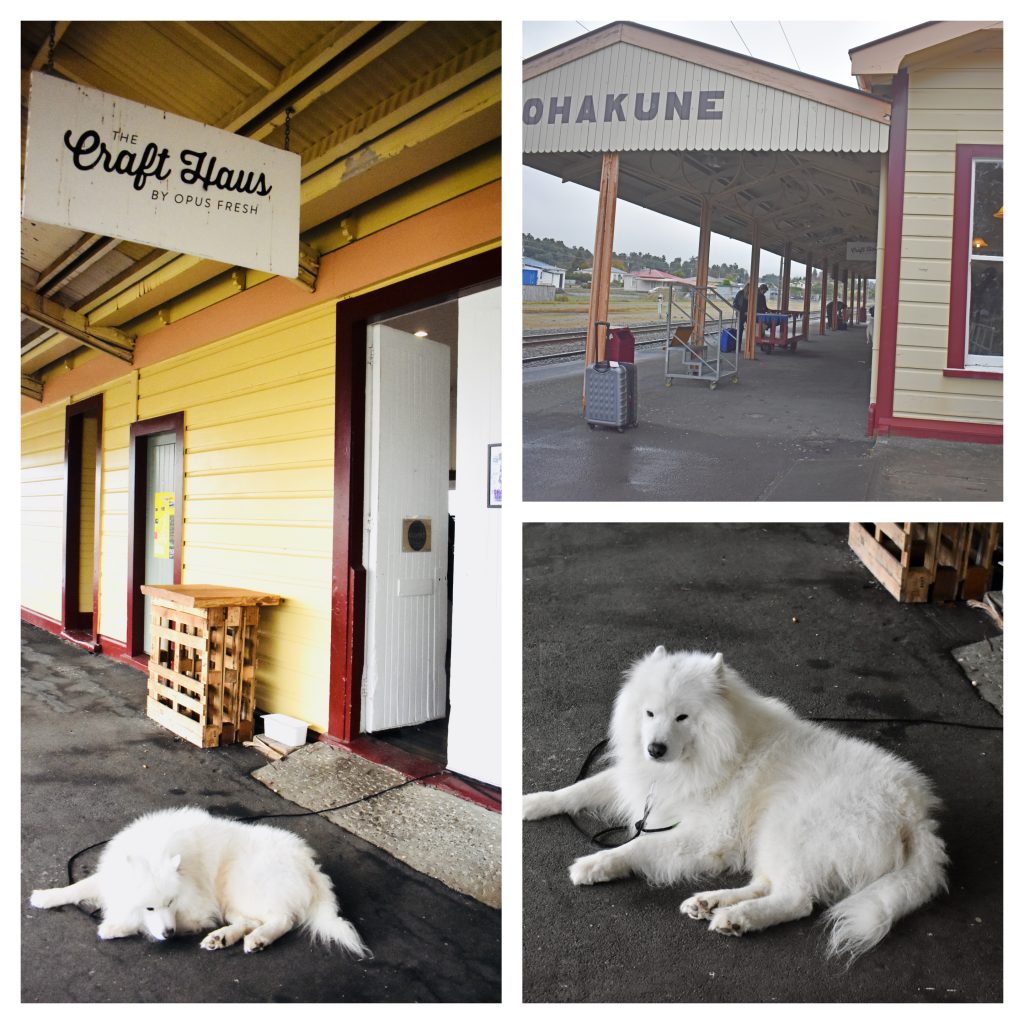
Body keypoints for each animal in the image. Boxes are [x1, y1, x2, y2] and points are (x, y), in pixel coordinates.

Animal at [29, 802, 372, 954]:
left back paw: (258, 939)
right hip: (234, 901)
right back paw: (223, 937)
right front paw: (45, 896)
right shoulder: (111, 877)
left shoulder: (196, 910)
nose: (169, 935)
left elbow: (137, 922)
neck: (154, 849)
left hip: (240, 885)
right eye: (152, 906)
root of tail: (309, 864)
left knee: (282, 919)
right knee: (251, 920)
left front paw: (114, 926)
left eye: (170, 903)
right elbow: (79, 885)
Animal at [524, 647, 946, 958]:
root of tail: (916, 816)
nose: (654, 749)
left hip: (789, 828)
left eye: (682, 717)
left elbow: (638, 847)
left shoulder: (707, 833)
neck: (715, 751)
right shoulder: (642, 784)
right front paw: (532, 802)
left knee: (797, 899)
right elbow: (578, 790)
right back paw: (712, 903)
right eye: (649, 713)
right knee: (767, 883)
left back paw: (739, 917)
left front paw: (594, 863)